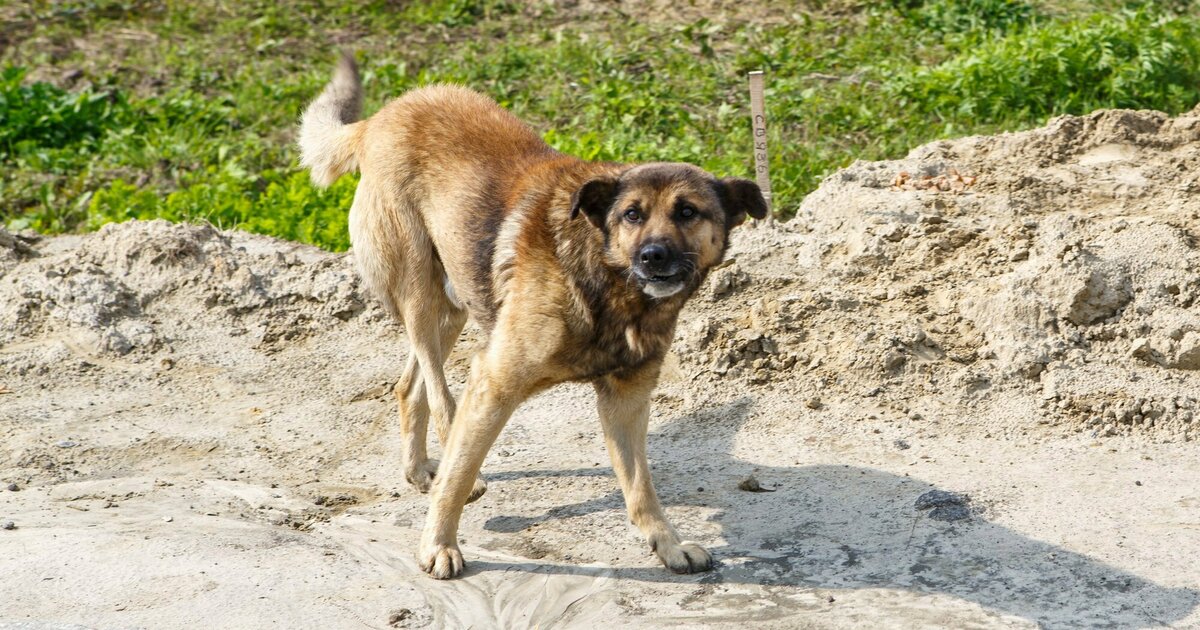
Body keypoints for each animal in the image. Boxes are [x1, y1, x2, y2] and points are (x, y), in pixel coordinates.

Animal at [300, 51, 768, 578]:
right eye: (631, 214)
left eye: (688, 212)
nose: (652, 256)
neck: (605, 280)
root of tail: (378, 119)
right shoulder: (495, 380)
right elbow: (458, 473)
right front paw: (439, 544)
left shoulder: (625, 400)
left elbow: (640, 488)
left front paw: (668, 544)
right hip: (420, 288)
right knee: (439, 392)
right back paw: (448, 465)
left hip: (458, 299)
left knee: (410, 384)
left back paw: (418, 469)